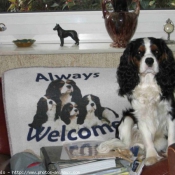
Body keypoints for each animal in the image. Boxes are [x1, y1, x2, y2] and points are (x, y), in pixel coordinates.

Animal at [115, 37, 175, 165]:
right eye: (139, 52)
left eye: (156, 52)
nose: (149, 60)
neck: (148, 82)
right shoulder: (140, 116)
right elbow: (147, 138)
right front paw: (151, 156)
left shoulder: (170, 112)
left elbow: (172, 135)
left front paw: (170, 152)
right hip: (127, 120)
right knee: (126, 145)